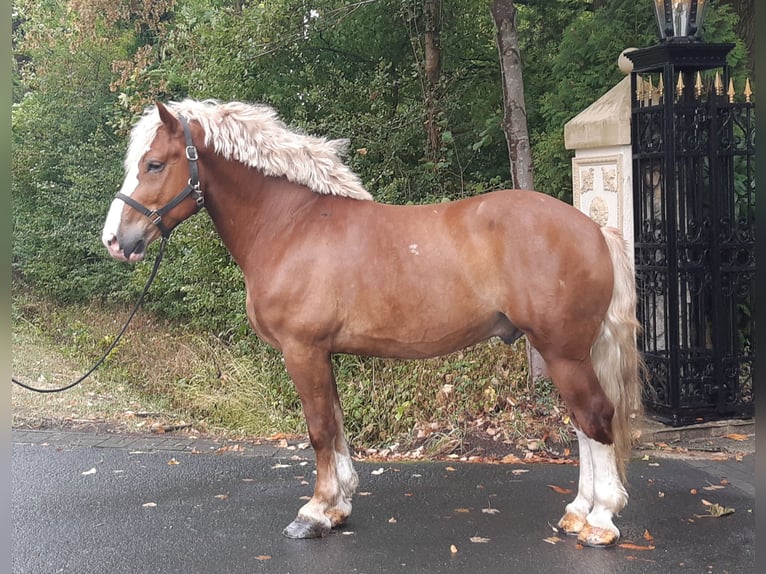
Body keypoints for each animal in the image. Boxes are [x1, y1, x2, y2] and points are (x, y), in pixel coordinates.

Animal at [101, 99, 643, 547]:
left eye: (154, 164)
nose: (115, 240)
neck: (290, 224)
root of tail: (595, 228)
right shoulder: (323, 353)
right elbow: (337, 425)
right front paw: (338, 505)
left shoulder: (302, 350)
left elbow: (319, 429)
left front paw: (314, 513)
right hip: (563, 352)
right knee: (582, 424)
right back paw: (577, 512)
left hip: (564, 351)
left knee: (596, 419)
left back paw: (600, 521)